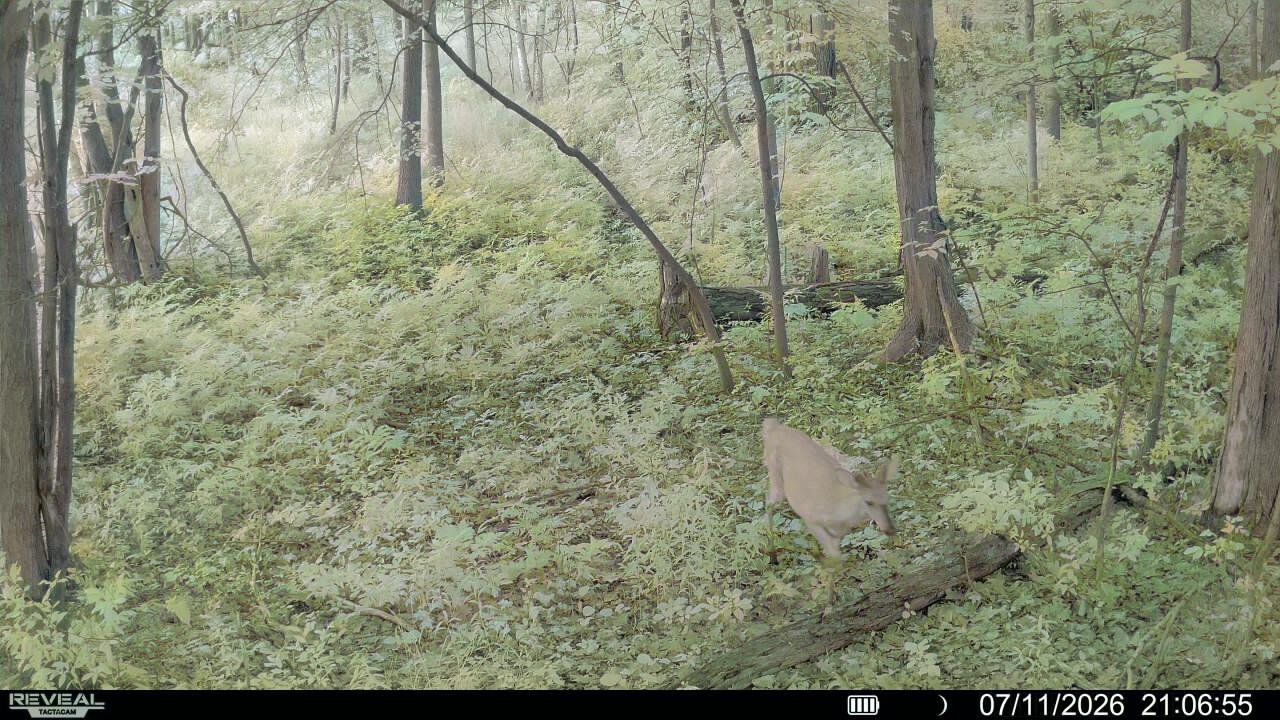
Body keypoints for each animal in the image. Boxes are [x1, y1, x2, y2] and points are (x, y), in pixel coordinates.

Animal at [761, 418, 898, 611]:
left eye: (888, 498)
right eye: (868, 501)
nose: (890, 529)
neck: (839, 512)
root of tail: (772, 426)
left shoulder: (838, 533)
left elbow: (836, 560)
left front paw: (831, 599)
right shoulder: (812, 519)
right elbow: (834, 558)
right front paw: (828, 600)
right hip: (776, 476)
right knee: (768, 505)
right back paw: (772, 554)